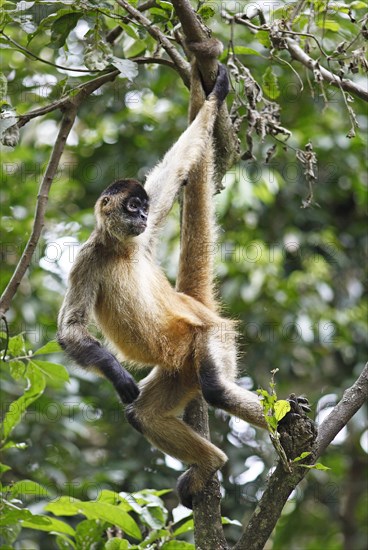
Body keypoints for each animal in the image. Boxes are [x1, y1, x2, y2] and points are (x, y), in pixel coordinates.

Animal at [56, 63, 304, 508]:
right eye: (131, 207)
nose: (140, 217)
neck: (120, 250)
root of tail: (195, 306)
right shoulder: (88, 258)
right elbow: (71, 330)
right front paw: (117, 374)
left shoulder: (143, 241)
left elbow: (172, 173)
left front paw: (216, 96)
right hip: (179, 369)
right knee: (143, 414)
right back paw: (213, 463)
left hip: (210, 337)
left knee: (216, 389)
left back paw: (288, 416)